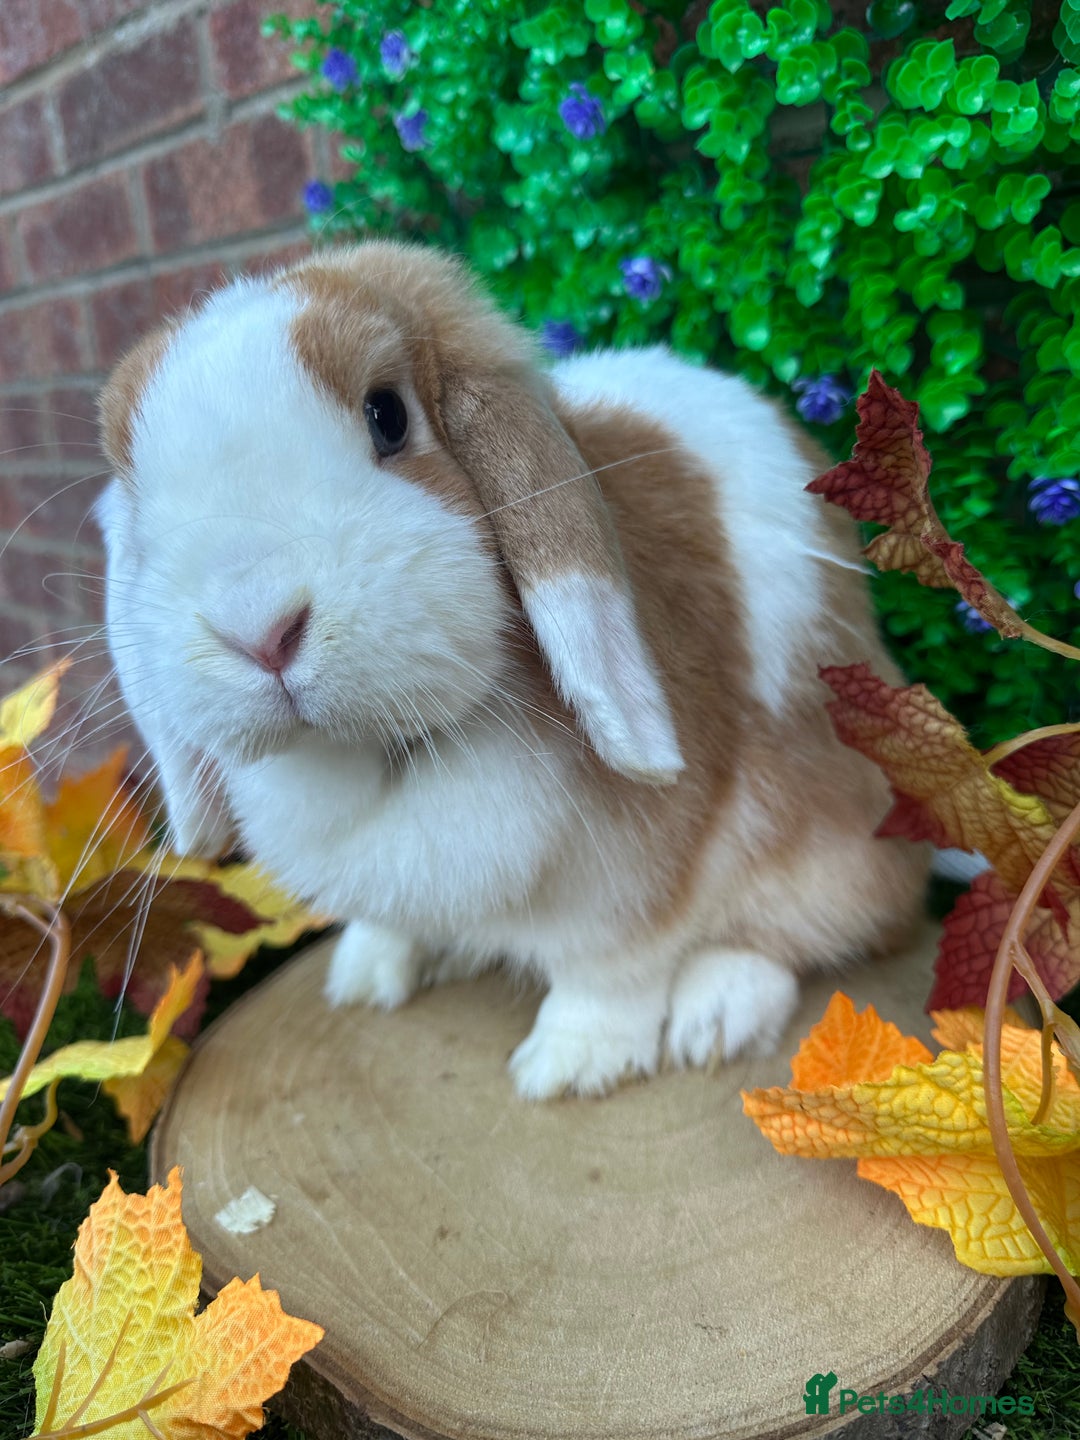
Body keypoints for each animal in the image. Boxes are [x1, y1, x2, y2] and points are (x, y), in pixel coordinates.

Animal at [95, 241, 929, 1100]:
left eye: (388, 415)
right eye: (138, 491)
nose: (257, 628)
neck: (383, 752)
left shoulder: (640, 874)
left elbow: (615, 965)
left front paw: (572, 1063)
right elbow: (394, 923)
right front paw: (366, 976)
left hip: (827, 836)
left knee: (818, 925)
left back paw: (714, 1015)